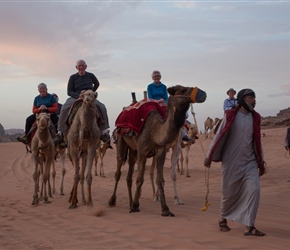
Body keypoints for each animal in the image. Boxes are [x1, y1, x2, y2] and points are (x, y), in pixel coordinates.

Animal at [108, 85, 206, 216]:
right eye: (182, 90)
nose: (202, 93)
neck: (155, 130)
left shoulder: (161, 150)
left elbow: (160, 179)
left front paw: (166, 208)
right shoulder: (142, 151)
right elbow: (140, 179)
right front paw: (136, 206)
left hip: (133, 150)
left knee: (129, 175)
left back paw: (130, 202)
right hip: (121, 140)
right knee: (118, 171)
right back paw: (113, 201)